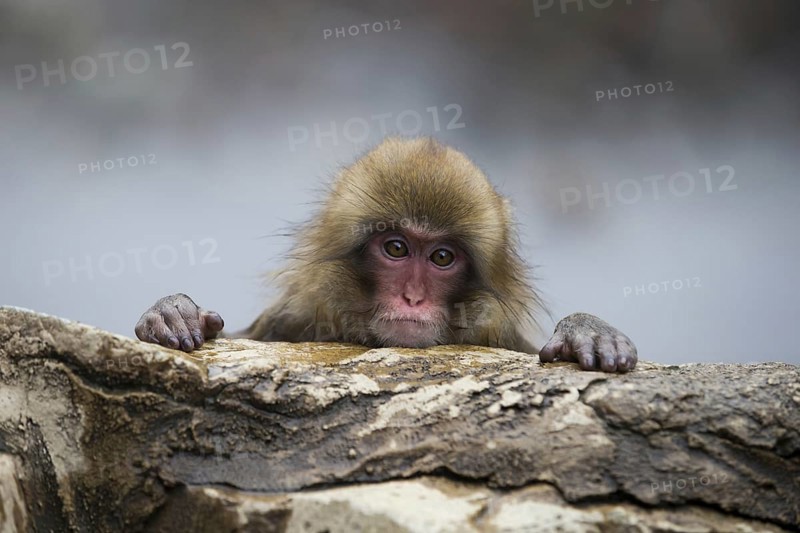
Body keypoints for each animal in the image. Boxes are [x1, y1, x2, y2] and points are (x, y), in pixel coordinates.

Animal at [135, 137, 637, 373]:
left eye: (441, 258)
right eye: (396, 248)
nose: (412, 298)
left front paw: (585, 331)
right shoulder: (288, 322)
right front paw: (173, 311)